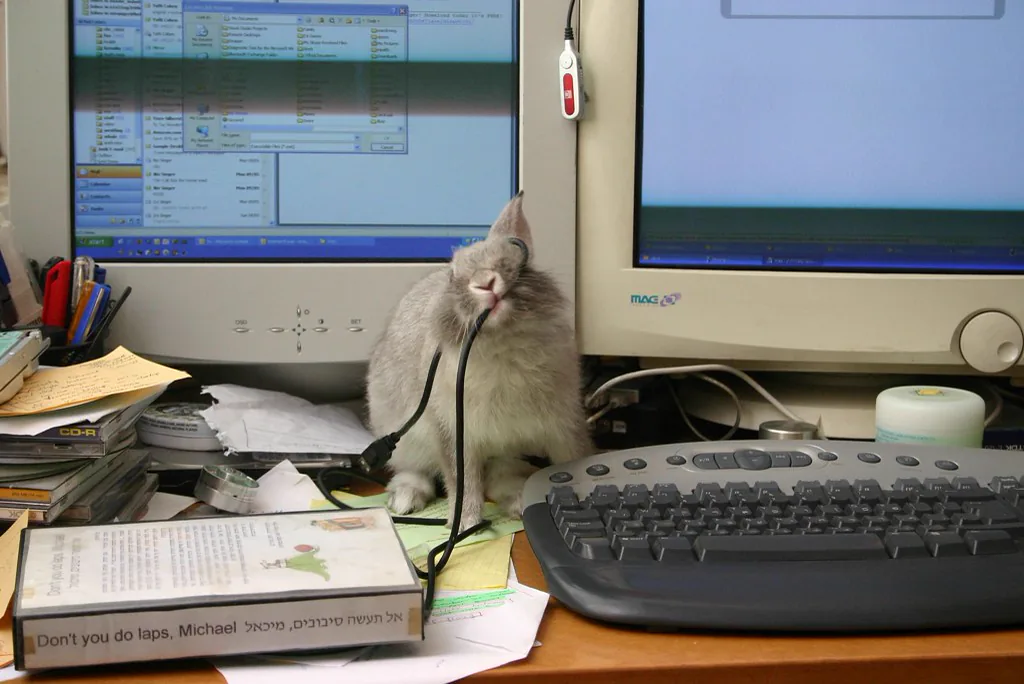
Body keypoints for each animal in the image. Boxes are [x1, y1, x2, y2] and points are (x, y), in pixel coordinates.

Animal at [365, 192, 592, 532]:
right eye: (452, 275)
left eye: (515, 257)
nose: (486, 282)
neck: (502, 344)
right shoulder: (453, 434)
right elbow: (463, 484)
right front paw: (464, 527)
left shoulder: (564, 424)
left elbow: (573, 463)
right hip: (402, 437)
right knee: (412, 468)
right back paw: (406, 499)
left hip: (511, 451)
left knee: (500, 477)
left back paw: (519, 502)